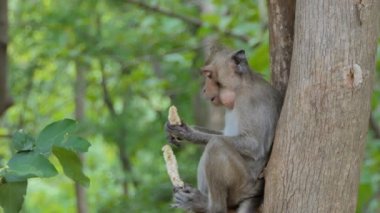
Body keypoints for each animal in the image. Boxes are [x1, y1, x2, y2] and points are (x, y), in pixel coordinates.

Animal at [166, 46, 282, 213]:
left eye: (209, 75)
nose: (204, 89)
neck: (240, 87)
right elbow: (224, 134)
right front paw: (180, 128)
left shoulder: (251, 101)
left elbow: (254, 145)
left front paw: (189, 133)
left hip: (243, 184)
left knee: (216, 145)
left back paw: (209, 206)